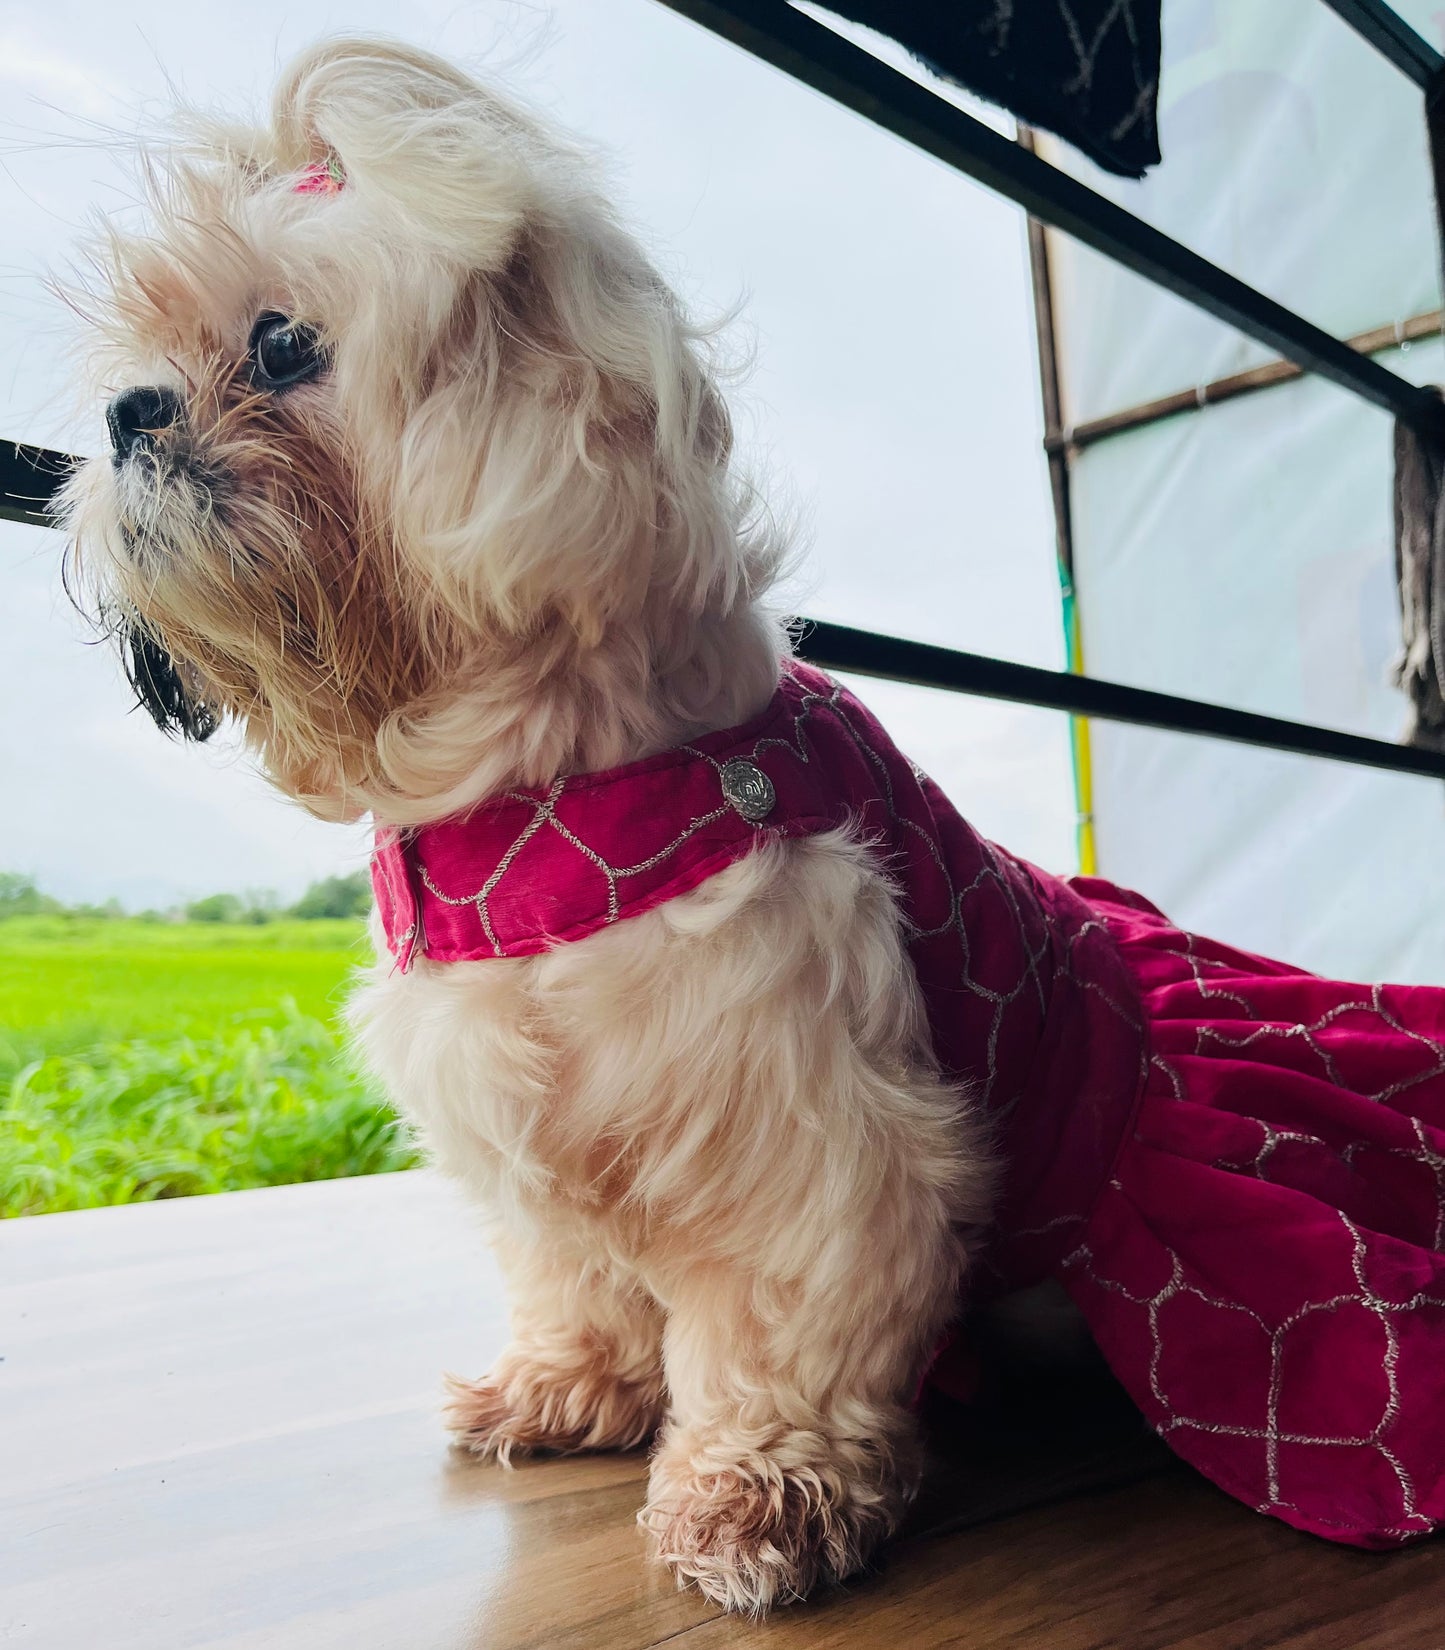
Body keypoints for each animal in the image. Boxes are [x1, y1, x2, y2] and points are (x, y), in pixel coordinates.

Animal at [64, 41, 996, 1610]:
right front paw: (568, 1385)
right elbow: (574, 1267)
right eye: (149, 361)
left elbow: (777, 1332)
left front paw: (752, 1500)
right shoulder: (517, 1120)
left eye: (280, 345)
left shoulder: (800, 1128)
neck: (536, 814)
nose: (130, 411)